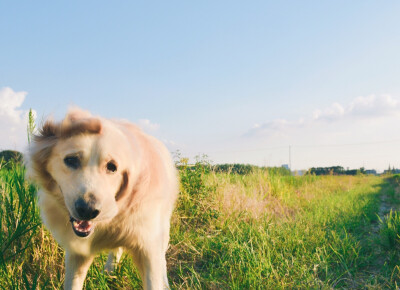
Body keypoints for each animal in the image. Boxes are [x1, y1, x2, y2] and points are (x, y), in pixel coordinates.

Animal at [27, 108, 177, 290]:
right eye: (71, 160)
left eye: (112, 167)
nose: (87, 210)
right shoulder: (77, 253)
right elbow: (73, 283)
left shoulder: (147, 246)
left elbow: (153, 278)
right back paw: (110, 270)